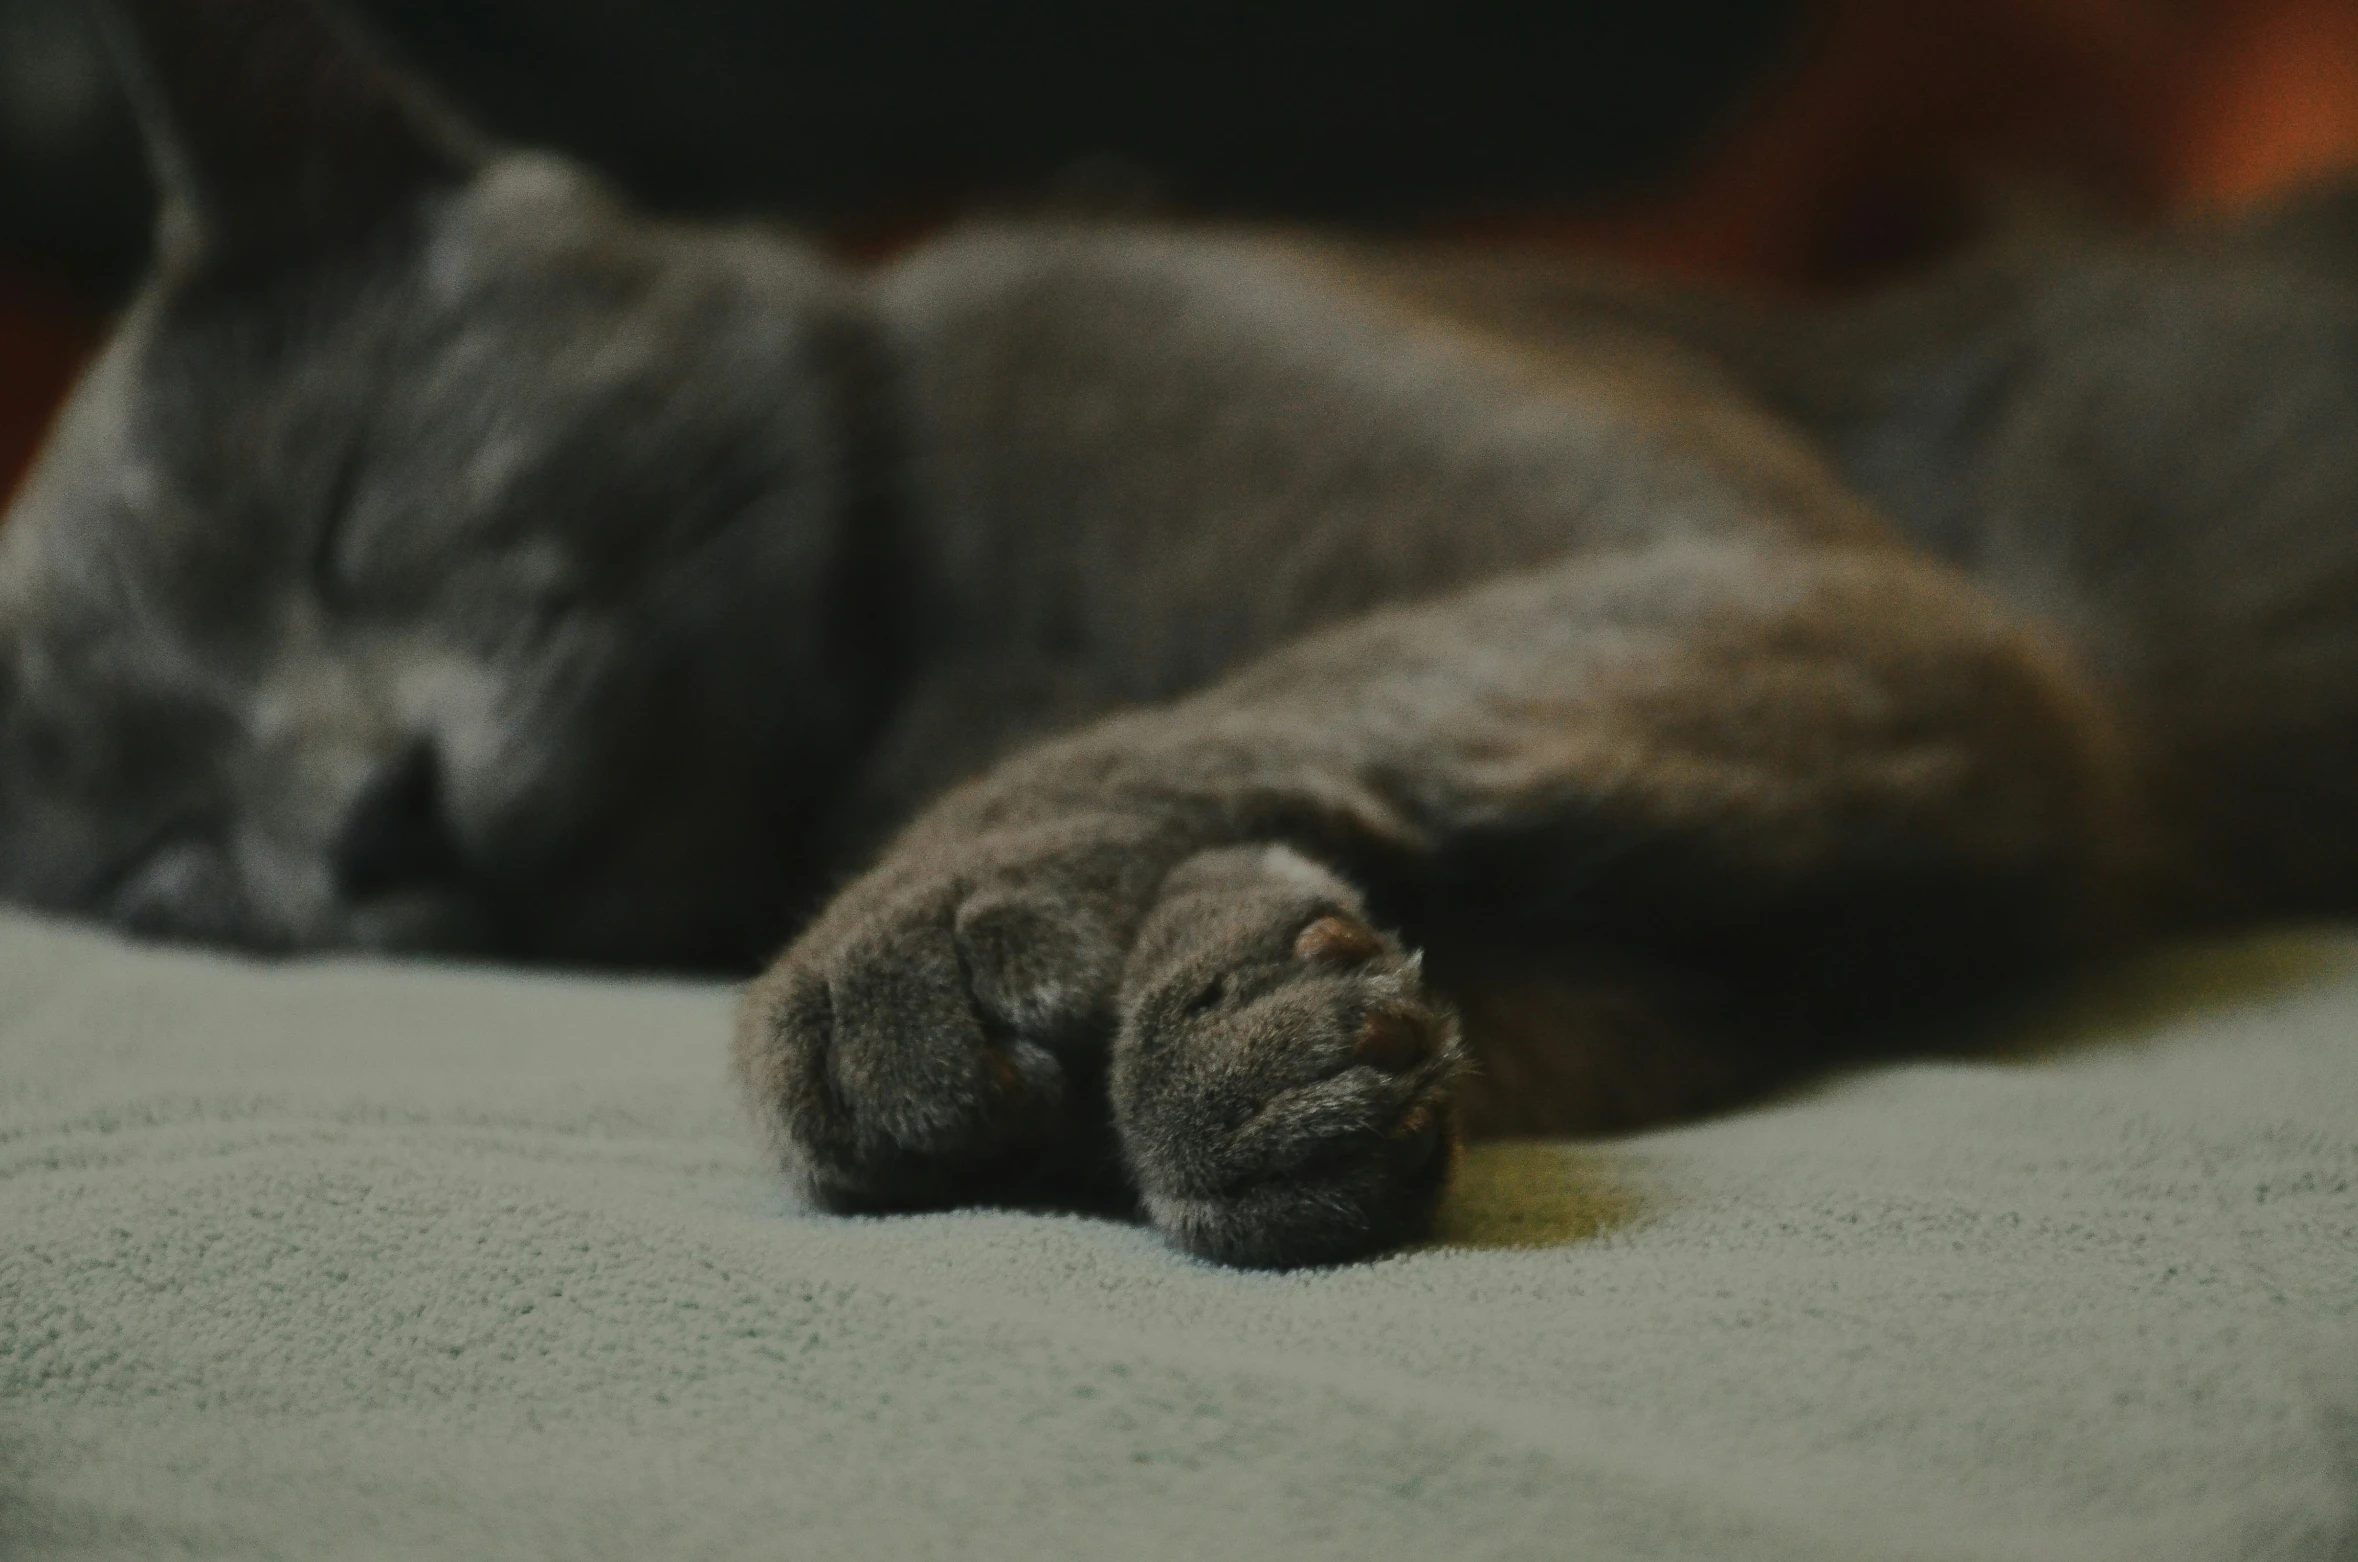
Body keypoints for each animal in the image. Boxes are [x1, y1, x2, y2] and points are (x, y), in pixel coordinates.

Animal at [4, 0, 2358, 1264]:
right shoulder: (1776, 882)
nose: (367, 821)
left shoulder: (1830, 597)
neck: (907, 670)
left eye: (342, 508)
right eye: (165, 854)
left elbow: (1256, 690)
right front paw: (1261, 1019)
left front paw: (906, 958)